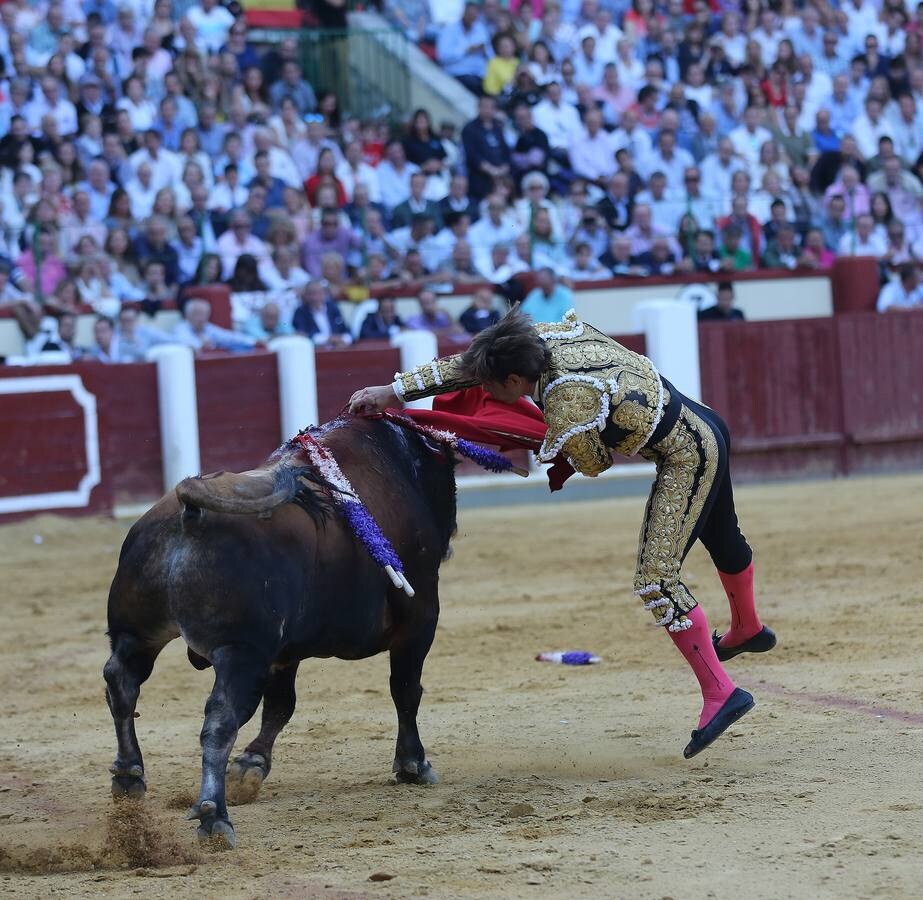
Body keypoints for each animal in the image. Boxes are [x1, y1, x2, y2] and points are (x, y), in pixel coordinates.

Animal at [102, 418, 458, 848]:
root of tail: (190, 512)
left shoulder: (284, 653)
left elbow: (280, 705)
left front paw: (250, 766)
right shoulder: (420, 621)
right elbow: (405, 690)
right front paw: (413, 764)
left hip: (135, 633)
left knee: (122, 684)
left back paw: (129, 777)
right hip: (241, 653)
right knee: (220, 720)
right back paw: (214, 817)